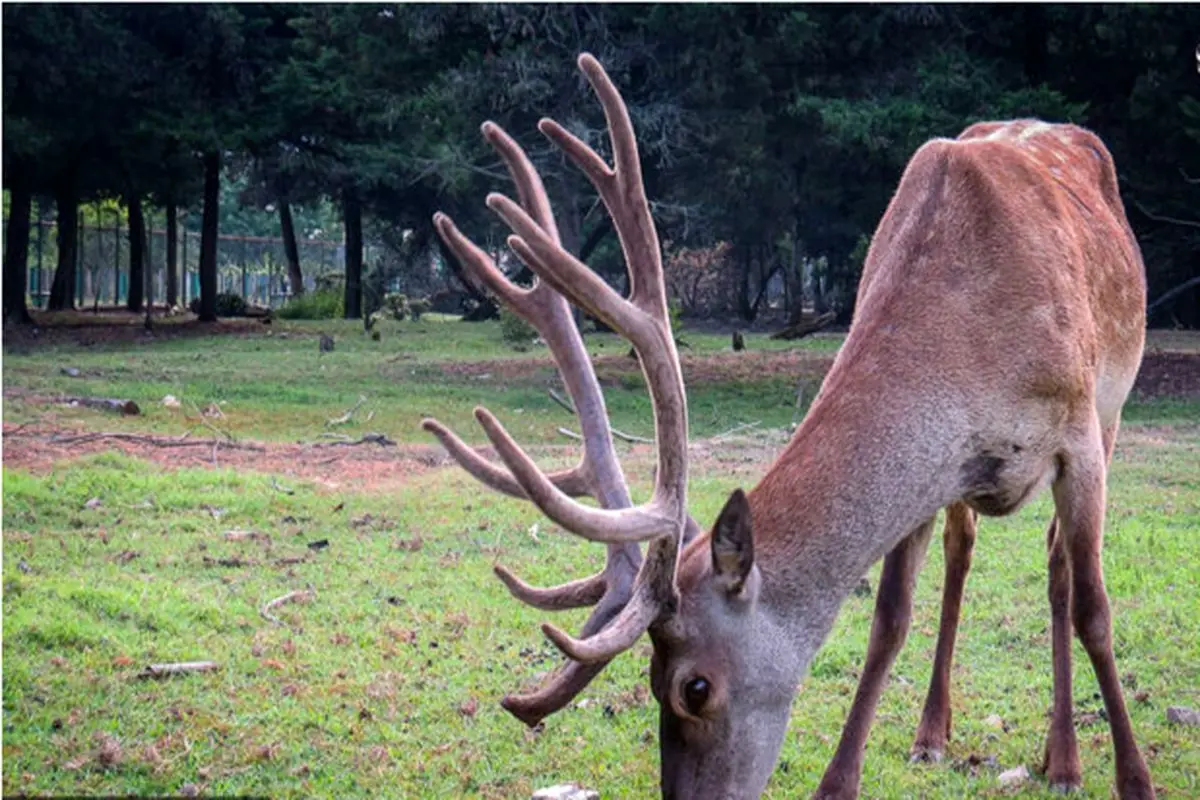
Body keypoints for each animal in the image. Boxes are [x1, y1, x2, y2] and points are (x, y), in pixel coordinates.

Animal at [422, 56, 1152, 800]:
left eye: (694, 687)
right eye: (650, 683)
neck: (970, 345)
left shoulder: (1079, 434)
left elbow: (1094, 610)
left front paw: (1135, 778)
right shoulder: (937, 463)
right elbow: (889, 618)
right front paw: (839, 781)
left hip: (1111, 410)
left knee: (1060, 567)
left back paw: (1063, 758)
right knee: (964, 549)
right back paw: (933, 732)